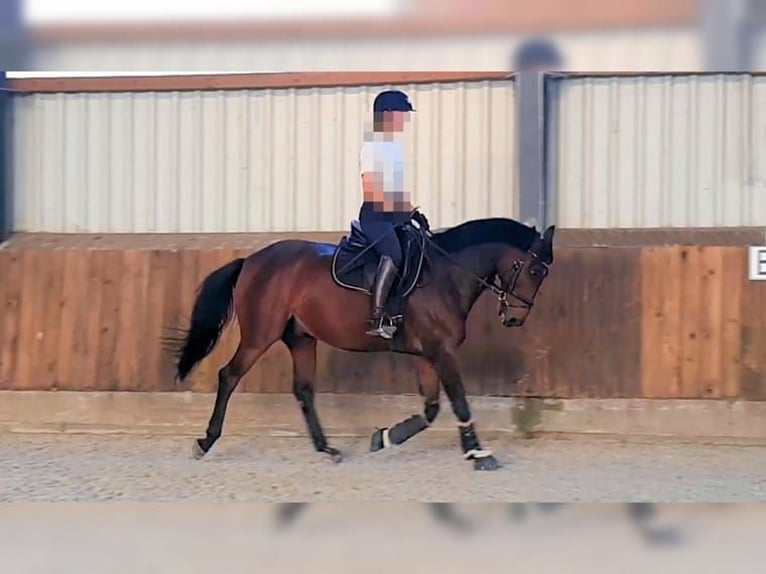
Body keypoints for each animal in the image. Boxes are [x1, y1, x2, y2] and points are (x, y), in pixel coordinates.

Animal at [167, 217, 555, 471]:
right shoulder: (441, 351)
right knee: (229, 376)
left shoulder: (426, 353)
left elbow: (431, 409)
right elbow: (459, 402)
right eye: (535, 270)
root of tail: (251, 260)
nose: (514, 319)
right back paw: (204, 442)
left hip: (301, 338)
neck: (447, 275)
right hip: (261, 334)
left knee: (303, 390)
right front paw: (479, 454)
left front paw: (384, 437)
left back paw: (327, 449)